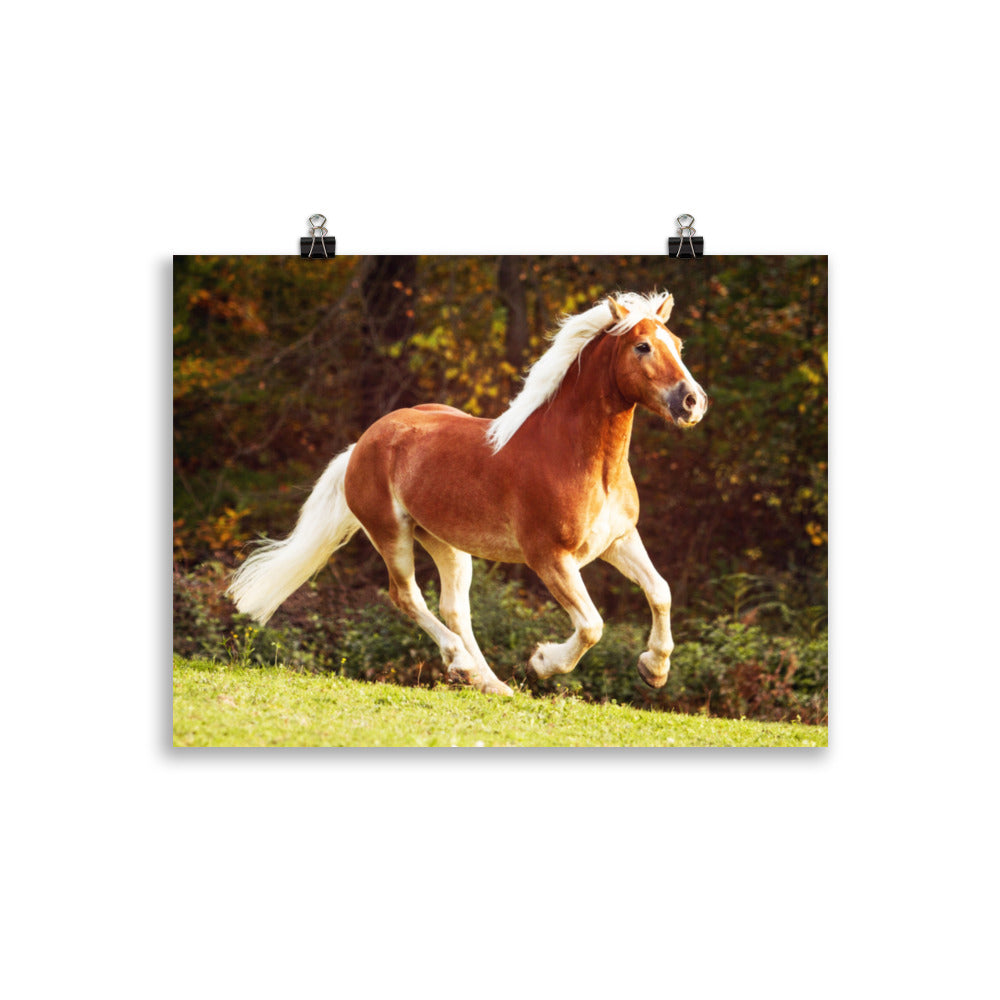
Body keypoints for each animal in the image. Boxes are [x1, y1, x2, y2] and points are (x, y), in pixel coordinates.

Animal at [228, 291, 709, 696]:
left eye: (678, 343)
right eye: (642, 347)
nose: (693, 402)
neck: (578, 458)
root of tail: (364, 442)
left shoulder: (618, 540)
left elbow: (660, 591)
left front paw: (654, 670)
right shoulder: (549, 557)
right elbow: (592, 625)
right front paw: (542, 662)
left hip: (447, 543)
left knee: (455, 608)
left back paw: (487, 681)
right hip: (391, 534)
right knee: (407, 596)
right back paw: (463, 664)